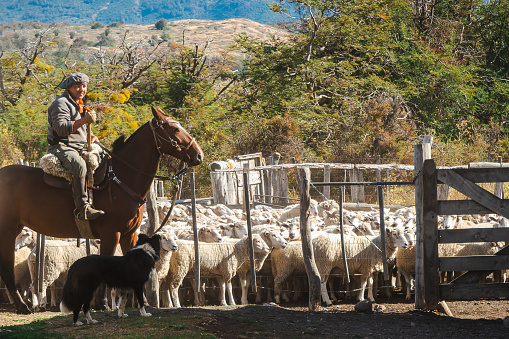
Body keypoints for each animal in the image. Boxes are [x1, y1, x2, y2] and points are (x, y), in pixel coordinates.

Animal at [0, 107, 202, 314]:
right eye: (174, 129)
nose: (198, 155)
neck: (121, 178)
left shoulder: (129, 234)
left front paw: (142, 302)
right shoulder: (111, 234)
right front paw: (102, 303)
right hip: (7, 231)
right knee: (7, 269)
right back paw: (22, 306)